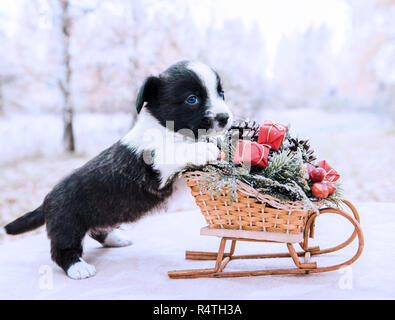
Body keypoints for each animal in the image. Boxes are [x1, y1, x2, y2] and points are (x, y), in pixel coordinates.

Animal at [3, 60, 232, 280]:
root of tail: (46, 200)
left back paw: (116, 238)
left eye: (221, 93)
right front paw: (204, 149)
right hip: (67, 226)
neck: (165, 128)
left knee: (98, 231)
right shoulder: (157, 169)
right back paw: (78, 268)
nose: (225, 118)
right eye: (192, 99)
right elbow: (176, 151)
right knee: (62, 251)